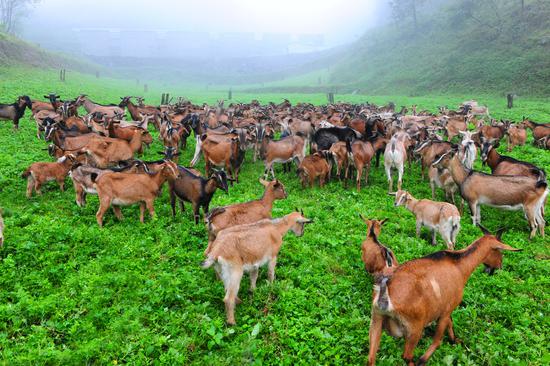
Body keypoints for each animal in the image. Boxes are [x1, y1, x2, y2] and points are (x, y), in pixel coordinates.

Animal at [370, 227, 520, 364]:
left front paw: (456, 341)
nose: (499, 267)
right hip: (414, 328)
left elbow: (450, 324)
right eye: (499, 251)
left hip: (376, 321)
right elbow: (438, 340)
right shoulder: (446, 310)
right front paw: (423, 359)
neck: (459, 265)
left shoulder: (447, 308)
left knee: (371, 358)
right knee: (407, 355)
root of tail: (385, 296)